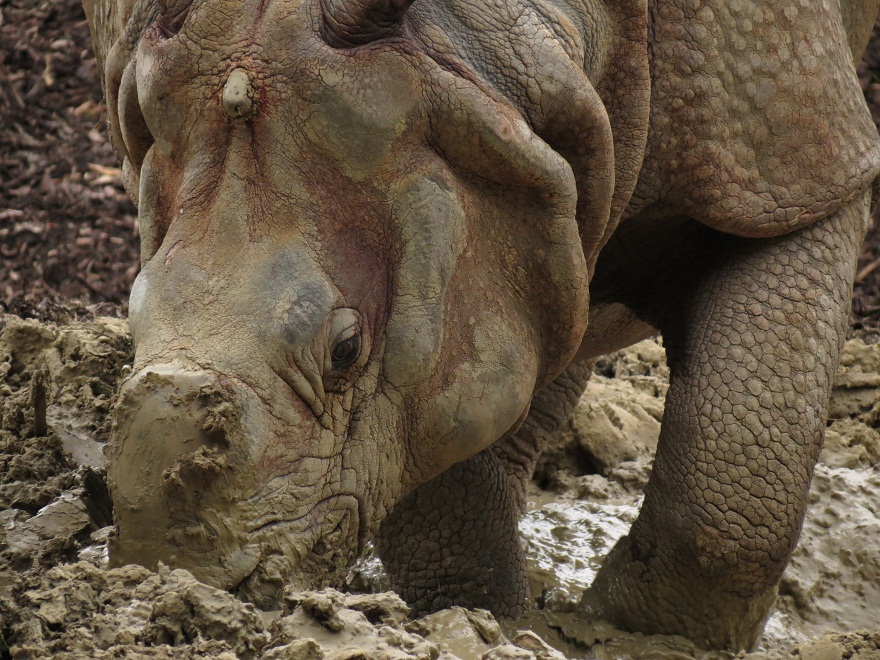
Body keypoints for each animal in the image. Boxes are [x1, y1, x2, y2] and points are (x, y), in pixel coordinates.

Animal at [84, 0, 880, 650]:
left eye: (345, 350)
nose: (178, 563)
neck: (489, 63)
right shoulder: (464, 160)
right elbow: (444, 456)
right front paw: (495, 627)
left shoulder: (798, 170)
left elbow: (729, 506)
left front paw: (637, 638)